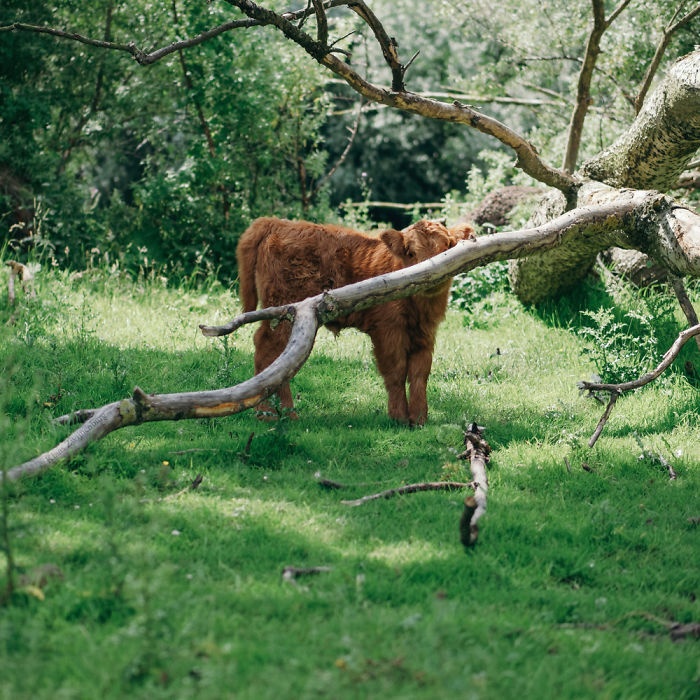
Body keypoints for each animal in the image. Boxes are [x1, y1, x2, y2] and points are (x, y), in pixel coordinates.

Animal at [236, 217, 474, 425]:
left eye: (447, 247)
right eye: (411, 252)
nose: (432, 275)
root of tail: (276, 222)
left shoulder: (425, 333)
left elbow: (419, 374)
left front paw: (419, 419)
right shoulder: (388, 329)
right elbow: (396, 371)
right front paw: (399, 417)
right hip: (284, 310)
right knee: (268, 349)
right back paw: (274, 413)